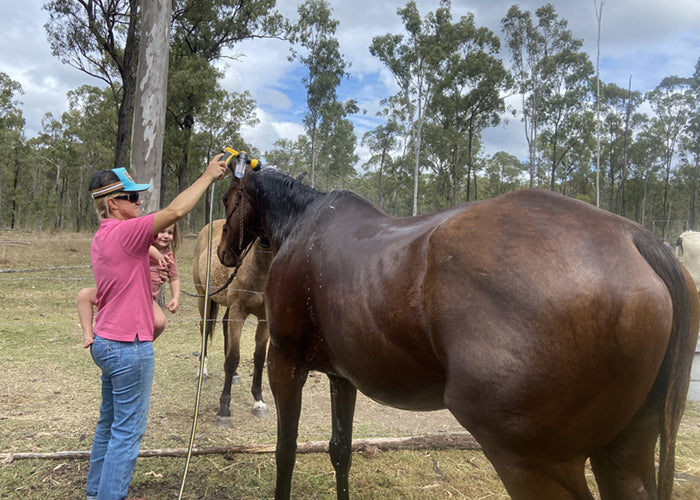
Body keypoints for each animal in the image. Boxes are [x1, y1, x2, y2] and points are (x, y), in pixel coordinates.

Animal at [216, 166, 696, 498]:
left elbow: (285, 452)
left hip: (534, 463)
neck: (305, 228)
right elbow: (340, 451)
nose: (222, 253)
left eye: (227, 199)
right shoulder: (341, 377)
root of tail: (635, 238)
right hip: (625, 451)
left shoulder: (285, 361)